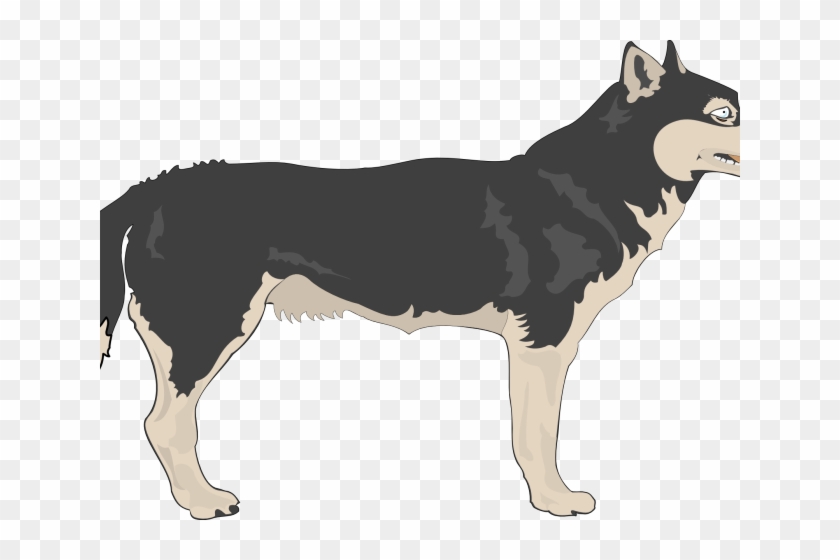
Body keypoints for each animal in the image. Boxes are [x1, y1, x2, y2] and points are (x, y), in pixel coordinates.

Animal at [99, 41, 739, 519]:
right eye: (722, 115)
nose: (754, 138)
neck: (602, 178)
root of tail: (160, 185)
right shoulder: (543, 340)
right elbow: (537, 432)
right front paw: (553, 501)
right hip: (207, 329)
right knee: (165, 422)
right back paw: (202, 502)